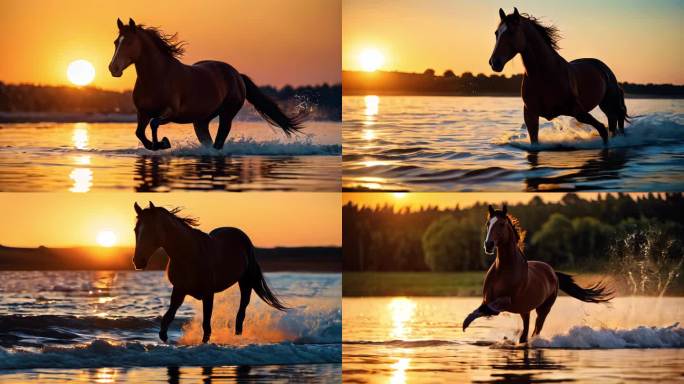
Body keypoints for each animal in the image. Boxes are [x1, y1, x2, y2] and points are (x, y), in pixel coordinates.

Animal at [108, 18, 304, 152]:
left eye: (129, 42)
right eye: (116, 42)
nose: (113, 69)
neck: (157, 77)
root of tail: (236, 75)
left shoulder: (171, 112)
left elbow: (154, 124)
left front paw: (163, 143)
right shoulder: (142, 113)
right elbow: (140, 132)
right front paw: (157, 144)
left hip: (227, 114)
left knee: (219, 141)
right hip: (201, 121)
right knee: (209, 141)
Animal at [132, 202, 288, 344]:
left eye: (151, 230)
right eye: (135, 230)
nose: (138, 262)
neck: (188, 255)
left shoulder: (208, 294)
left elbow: (206, 326)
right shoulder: (179, 291)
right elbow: (167, 319)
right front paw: (165, 338)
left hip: (245, 282)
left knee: (242, 309)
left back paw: (237, 336)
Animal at [460, 206, 616, 344]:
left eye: (501, 224)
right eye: (488, 223)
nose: (489, 245)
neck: (503, 270)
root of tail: (553, 272)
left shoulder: (507, 301)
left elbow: (490, 309)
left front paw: (468, 322)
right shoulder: (487, 299)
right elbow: (482, 308)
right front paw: (466, 322)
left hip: (543, 310)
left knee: (535, 330)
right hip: (525, 311)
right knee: (525, 334)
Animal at [486, 10, 632, 147]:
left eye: (511, 32)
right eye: (496, 33)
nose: (494, 62)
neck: (546, 75)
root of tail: (605, 69)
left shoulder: (578, 111)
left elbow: (602, 130)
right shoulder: (530, 115)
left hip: (609, 105)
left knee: (614, 123)